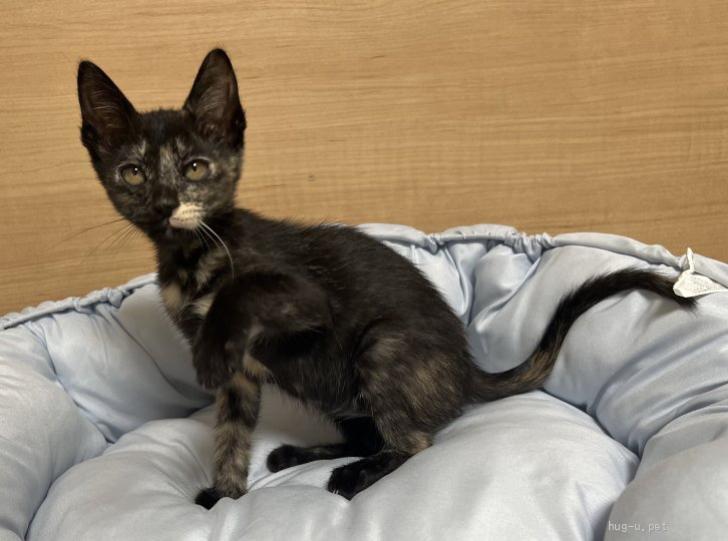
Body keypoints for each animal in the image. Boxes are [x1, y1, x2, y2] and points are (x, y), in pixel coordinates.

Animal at [76, 49, 694, 507]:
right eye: (132, 172)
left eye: (195, 168)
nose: (163, 203)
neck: (191, 255)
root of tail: (467, 373)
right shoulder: (241, 380)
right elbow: (230, 432)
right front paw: (225, 495)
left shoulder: (305, 301)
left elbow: (244, 292)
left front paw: (209, 350)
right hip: (337, 386)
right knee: (366, 430)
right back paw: (302, 455)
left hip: (381, 345)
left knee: (415, 440)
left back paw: (357, 475)